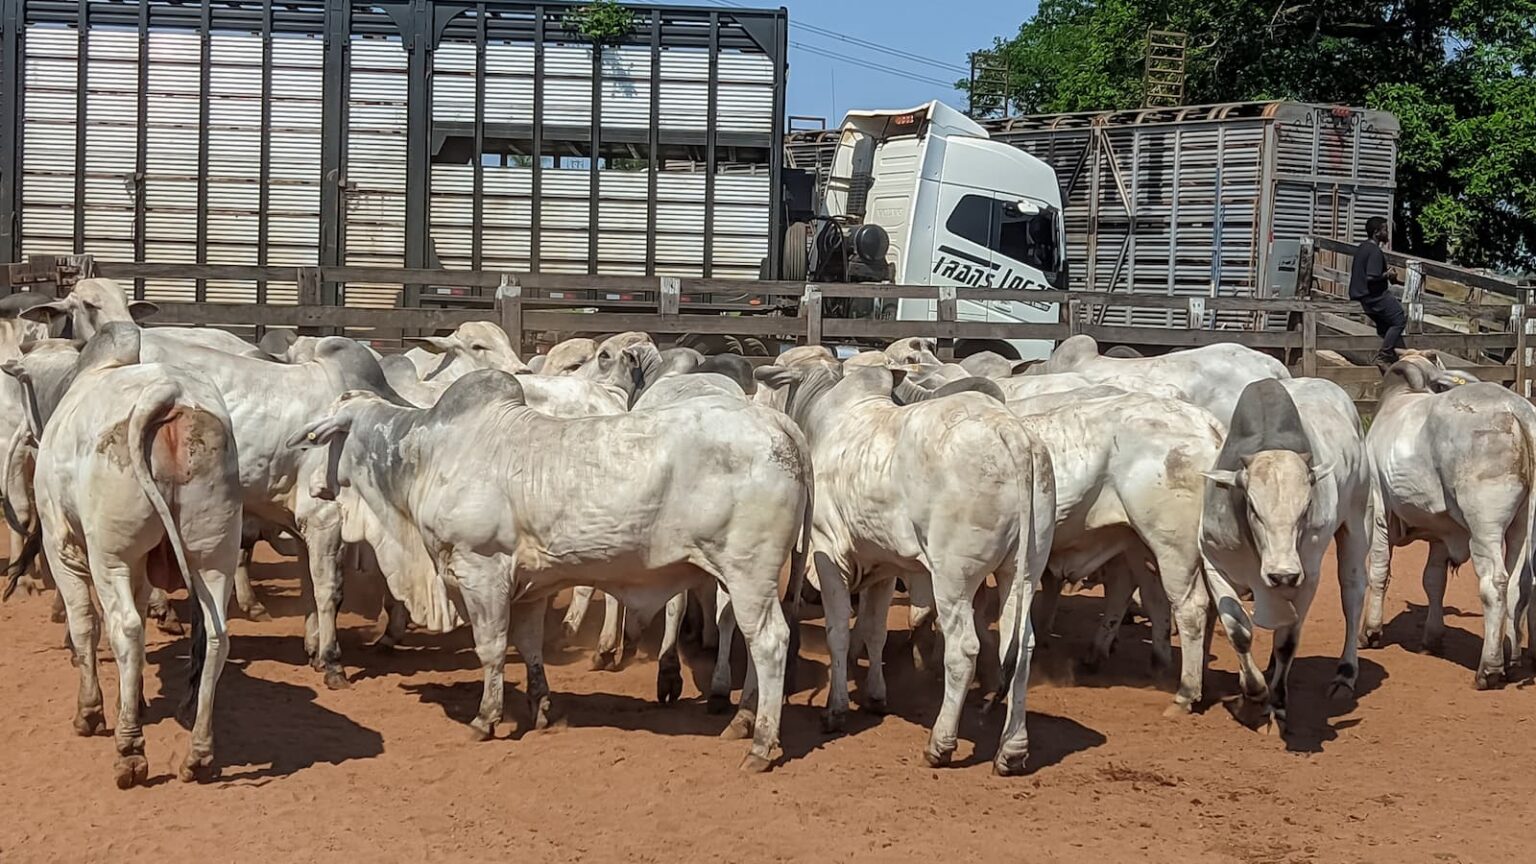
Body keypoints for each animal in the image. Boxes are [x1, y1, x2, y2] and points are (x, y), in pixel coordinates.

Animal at [7, 321, 239, 780]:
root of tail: (168, 393)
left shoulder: (63, 547)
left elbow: (84, 624)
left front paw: (91, 710)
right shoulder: (144, 565)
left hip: (109, 556)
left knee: (126, 628)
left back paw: (130, 749)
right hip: (213, 554)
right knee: (216, 634)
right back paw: (200, 752)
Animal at [291, 364, 811, 765]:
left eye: (319, 440)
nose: (309, 493)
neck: (429, 456)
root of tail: (776, 423)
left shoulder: (481, 572)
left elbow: (491, 648)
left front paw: (486, 717)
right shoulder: (531, 585)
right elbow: (528, 645)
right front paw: (541, 707)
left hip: (747, 572)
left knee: (769, 642)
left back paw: (762, 743)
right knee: (755, 640)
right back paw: (743, 719)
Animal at [749, 356, 1050, 774]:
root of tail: (1012, 434)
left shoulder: (829, 554)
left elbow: (839, 632)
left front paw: (835, 710)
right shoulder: (884, 567)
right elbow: (873, 631)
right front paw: (875, 696)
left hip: (954, 576)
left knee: (964, 650)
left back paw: (941, 744)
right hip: (1022, 571)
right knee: (1020, 647)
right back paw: (1012, 750)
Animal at [1198, 373, 1370, 728]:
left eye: (1305, 508)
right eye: (1252, 506)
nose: (1282, 574)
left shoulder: (1307, 577)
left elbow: (1288, 643)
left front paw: (1276, 702)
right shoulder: (1214, 563)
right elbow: (1238, 631)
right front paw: (1252, 692)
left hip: (1357, 520)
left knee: (1353, 594)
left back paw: (1345, 674)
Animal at [1363, 350, 1529, 685]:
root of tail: (1513, 408)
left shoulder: (1378, 510)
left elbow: (1378, 570)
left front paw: (1371, 631)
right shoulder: (1444, 532)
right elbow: (1433, 580)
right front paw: (1432, 637)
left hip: (1484, 524)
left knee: (1495, 583)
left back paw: (1490, 667)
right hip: (1524, 523)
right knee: (1519, 582)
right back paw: (1513, 657)